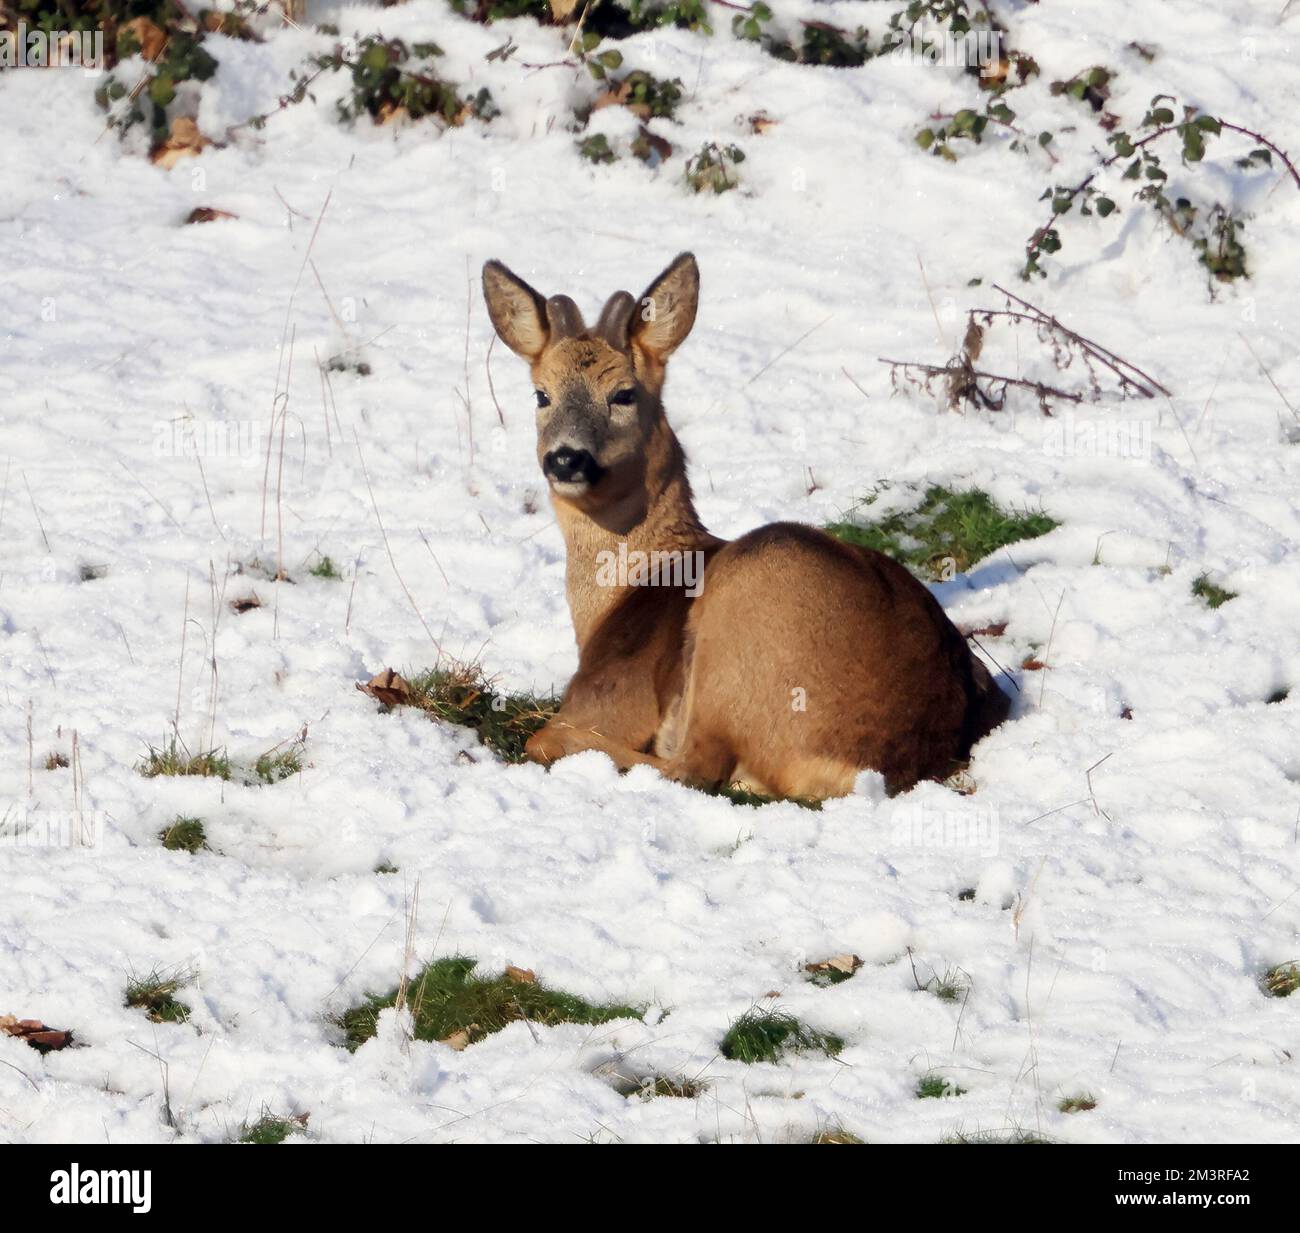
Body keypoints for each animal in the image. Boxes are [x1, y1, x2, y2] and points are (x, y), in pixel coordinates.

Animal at [481, 253, 1010, 799]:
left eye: (623, 394)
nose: (566, 458)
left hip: (745, 609)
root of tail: (876, 769)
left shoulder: (614, 697)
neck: (625, 590)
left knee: (688, 765)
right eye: (541, 395)